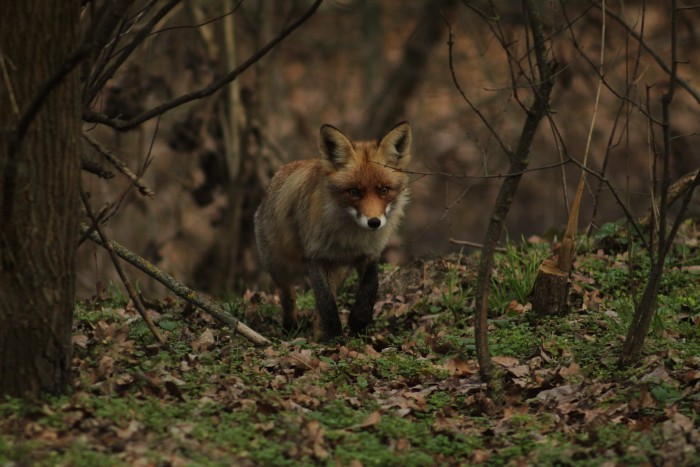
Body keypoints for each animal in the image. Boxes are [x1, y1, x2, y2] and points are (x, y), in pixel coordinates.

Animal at [256, 120, 410, 340]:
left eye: (383, 190)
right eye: (354, 192)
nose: (374, 222)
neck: (350, 238)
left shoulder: (370, 253)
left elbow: (371, 286)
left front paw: (359, 320)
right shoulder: (315, 257)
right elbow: (327, 304)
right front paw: (335, 337)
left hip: (337, 270)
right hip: (279, 267)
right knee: (288, 296)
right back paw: (290, 327)